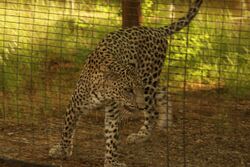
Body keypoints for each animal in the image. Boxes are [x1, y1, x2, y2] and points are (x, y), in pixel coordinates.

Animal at [49, 0, 203, 166]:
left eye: (135, 90)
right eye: (128, 90)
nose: (140, 106)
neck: (103, 92)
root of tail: (156, 30)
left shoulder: (113, 113)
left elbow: (112, 138)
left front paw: (111, 162)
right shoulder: (74, 105)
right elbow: (67, 130)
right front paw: (62, 150)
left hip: (149, 82)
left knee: (152, 111)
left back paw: (142, 135)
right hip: (150, 84)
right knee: (162, 92)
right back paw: (164, 122)